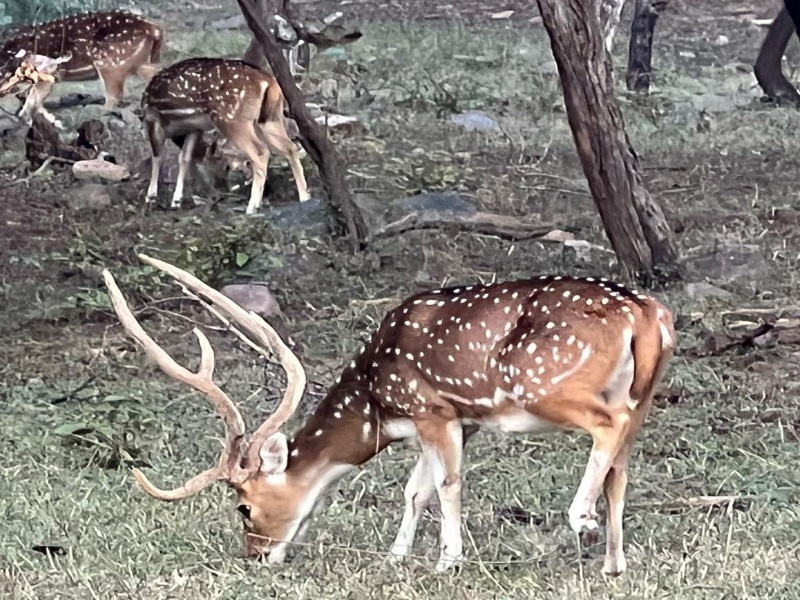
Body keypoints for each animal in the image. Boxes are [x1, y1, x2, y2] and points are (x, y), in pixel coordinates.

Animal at [101, 255, 676, 576]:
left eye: (243, 506)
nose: (256, 555)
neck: (377, 401)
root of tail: (649, 314)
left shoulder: (430, 406)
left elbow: (445, 484)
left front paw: (447, 561)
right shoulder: (456, 418)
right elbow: (414, 489)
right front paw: (397, 555)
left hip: (545, 384)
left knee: (607, 427)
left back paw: (582, 521)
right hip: (644, 391)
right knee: (621, 466)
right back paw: (614, 562)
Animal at [141, 56, 310, 214]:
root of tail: (268, 81)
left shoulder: (152, 119)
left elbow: (158, 157)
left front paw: (151, 198)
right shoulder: (194, 128)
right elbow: (185, 158)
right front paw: (176, 201)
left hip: (232, 119)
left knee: (261, 152)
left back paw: (251, 207)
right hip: (269, 117)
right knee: (290, 147)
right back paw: (304, 197)